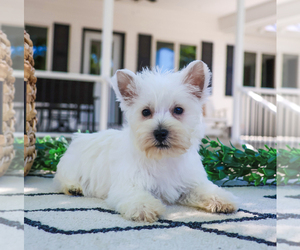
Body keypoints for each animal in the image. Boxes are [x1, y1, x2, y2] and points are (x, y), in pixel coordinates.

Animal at [53, 60, 237, 223]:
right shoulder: (128, 185)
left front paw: (222, 200)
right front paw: (144, 208)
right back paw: (74, 188)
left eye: (178, 110)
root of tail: (79, 137)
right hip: (69, 168)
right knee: (61, 180)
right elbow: (137, 196)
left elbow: (206, 189)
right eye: (146, 112)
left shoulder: (191, 182)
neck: (163, 158)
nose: (160, 132)